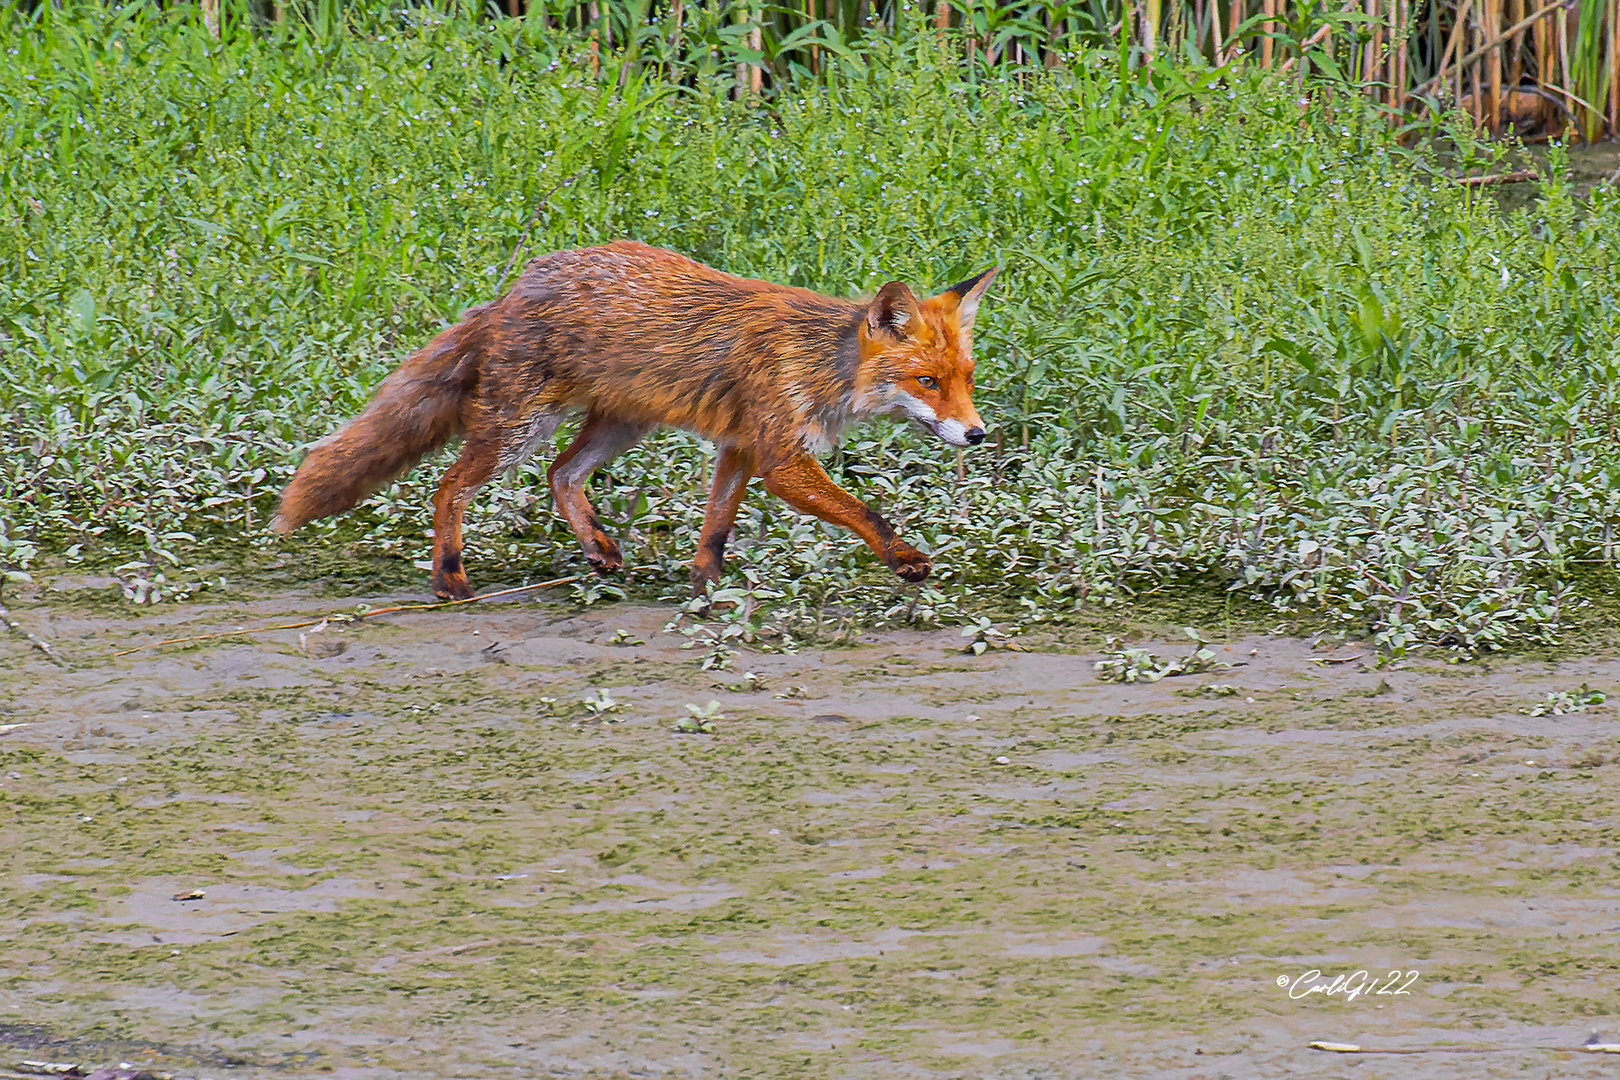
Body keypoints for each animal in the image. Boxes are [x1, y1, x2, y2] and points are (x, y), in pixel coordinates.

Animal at [272, 241, 991, 599]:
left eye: (967, 379)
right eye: (927, 382)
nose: (978, 434)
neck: (820, 363)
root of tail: (517, 286)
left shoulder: (740, 446)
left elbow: (715, 529)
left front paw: (705, 589)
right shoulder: (781, 459)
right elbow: (869, 513)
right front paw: (905, 560)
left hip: (619, 426)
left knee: (562, 475)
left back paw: (598, 547)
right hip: (518, 429)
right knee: (449, 488)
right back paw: (449, 579)